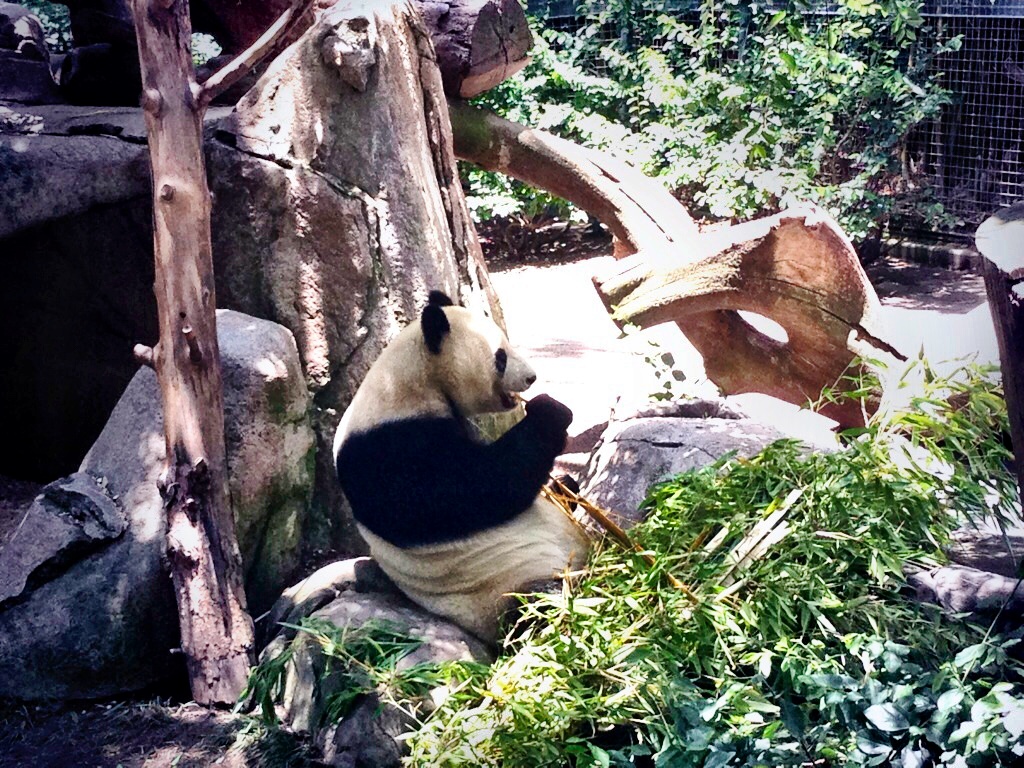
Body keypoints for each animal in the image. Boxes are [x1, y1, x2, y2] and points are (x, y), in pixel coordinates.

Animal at [333, 290, 593, 638]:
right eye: (500, 357)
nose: (531, 377)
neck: (408, 380)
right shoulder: (385, 446)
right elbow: (471, 491)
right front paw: (551, 413)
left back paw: (565, 488)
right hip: (501, 586)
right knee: (536, 606)